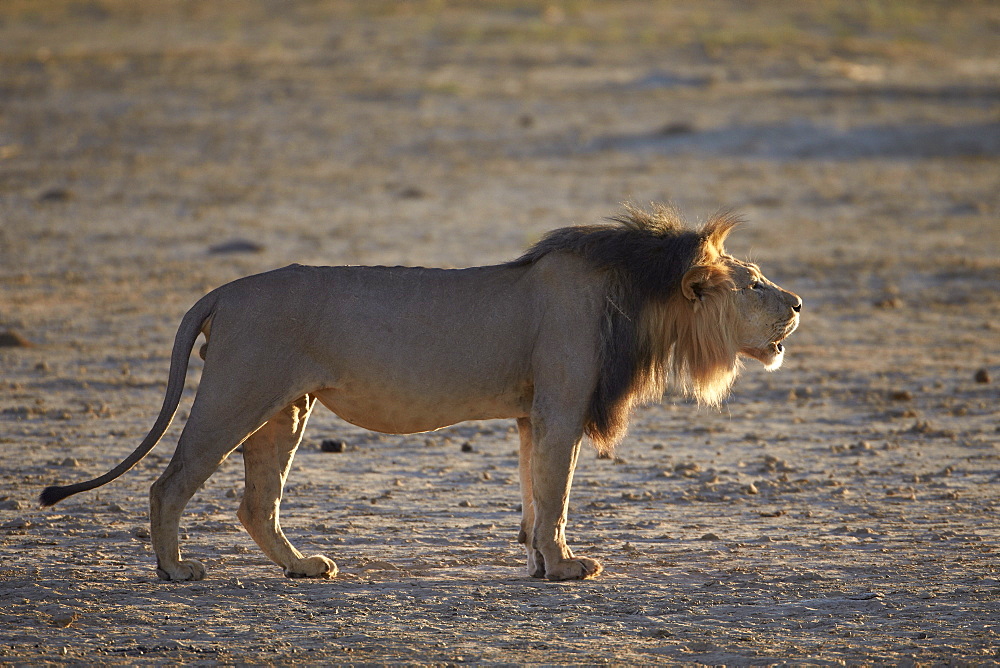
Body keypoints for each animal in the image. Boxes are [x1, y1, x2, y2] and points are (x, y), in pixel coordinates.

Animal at [41, 202, 804, 580]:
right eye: (754, 283)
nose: (798, 304)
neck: (639, 296)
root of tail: (225, 291)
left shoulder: (532, 415)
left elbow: (534, 491)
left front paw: (536, 560)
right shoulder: (561, 405)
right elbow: (557, 494)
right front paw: (565, 567)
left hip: (286, 408)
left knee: (256, 504)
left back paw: (304, 568)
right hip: (237, 393)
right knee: (168, 483)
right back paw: (176, 571)